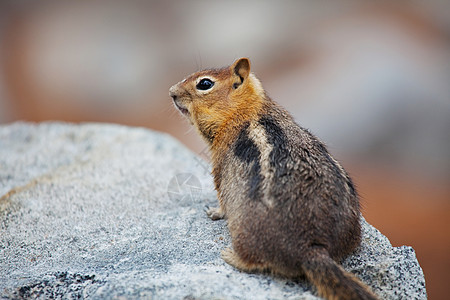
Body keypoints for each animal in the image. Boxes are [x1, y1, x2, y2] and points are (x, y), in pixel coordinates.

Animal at [171, 57, 378, 298]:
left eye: (204, 84)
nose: (171, 92)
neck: (246, 110)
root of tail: (312, 249)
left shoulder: (219, 167)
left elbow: (221, 197)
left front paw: (213, 212)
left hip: (244, 233)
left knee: (254, 261)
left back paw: (230, 256)